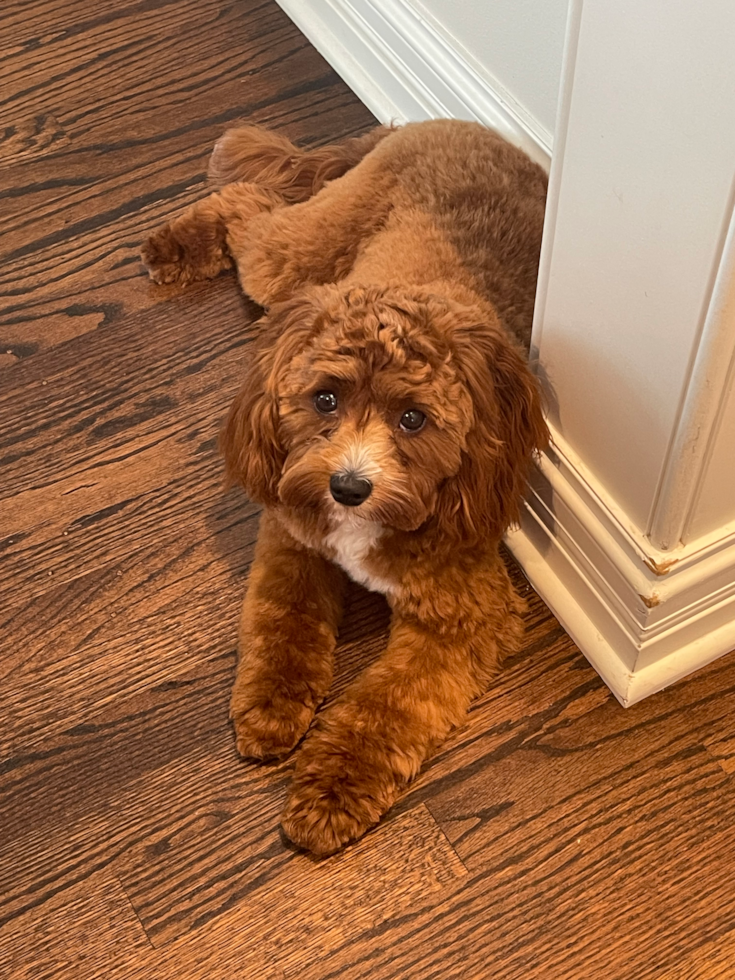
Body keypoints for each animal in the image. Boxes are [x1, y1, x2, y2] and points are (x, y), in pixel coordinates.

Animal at [141, 118, 548, 852]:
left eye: (414, 418)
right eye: (325, 399)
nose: (348, 488)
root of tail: (442, 121)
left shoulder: (463, 613)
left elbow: (387, 706)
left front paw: (332, 788)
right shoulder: (293, 533)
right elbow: (283, 621)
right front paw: (272, 705)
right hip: (304, 251)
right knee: (249, 208)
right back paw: (177, 243)